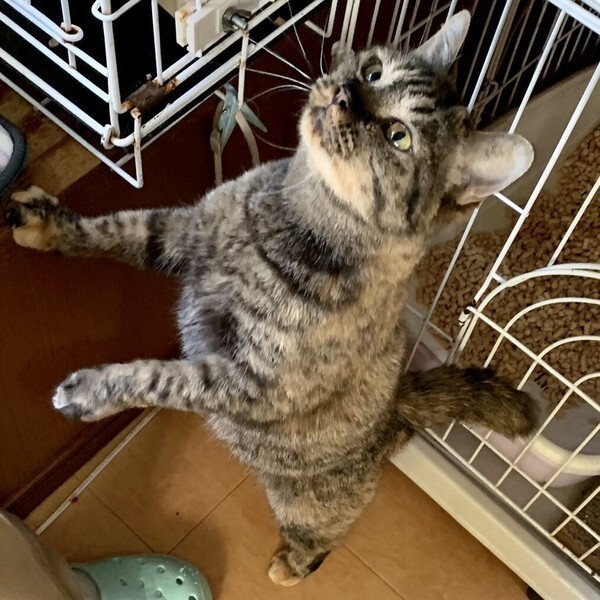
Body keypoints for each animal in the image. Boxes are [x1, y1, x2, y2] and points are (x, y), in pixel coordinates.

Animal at [5, 11, 537, 586]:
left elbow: (154, 377)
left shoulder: (246, 383)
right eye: (373, 71)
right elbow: (114, 230)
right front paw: (47, 227)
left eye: (399, 136)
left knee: (326, 533)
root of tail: (400, 406)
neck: (286, 222)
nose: (346, 93)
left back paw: (294, 565)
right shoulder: (182, 232)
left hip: (308, 503)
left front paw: (90, 393)